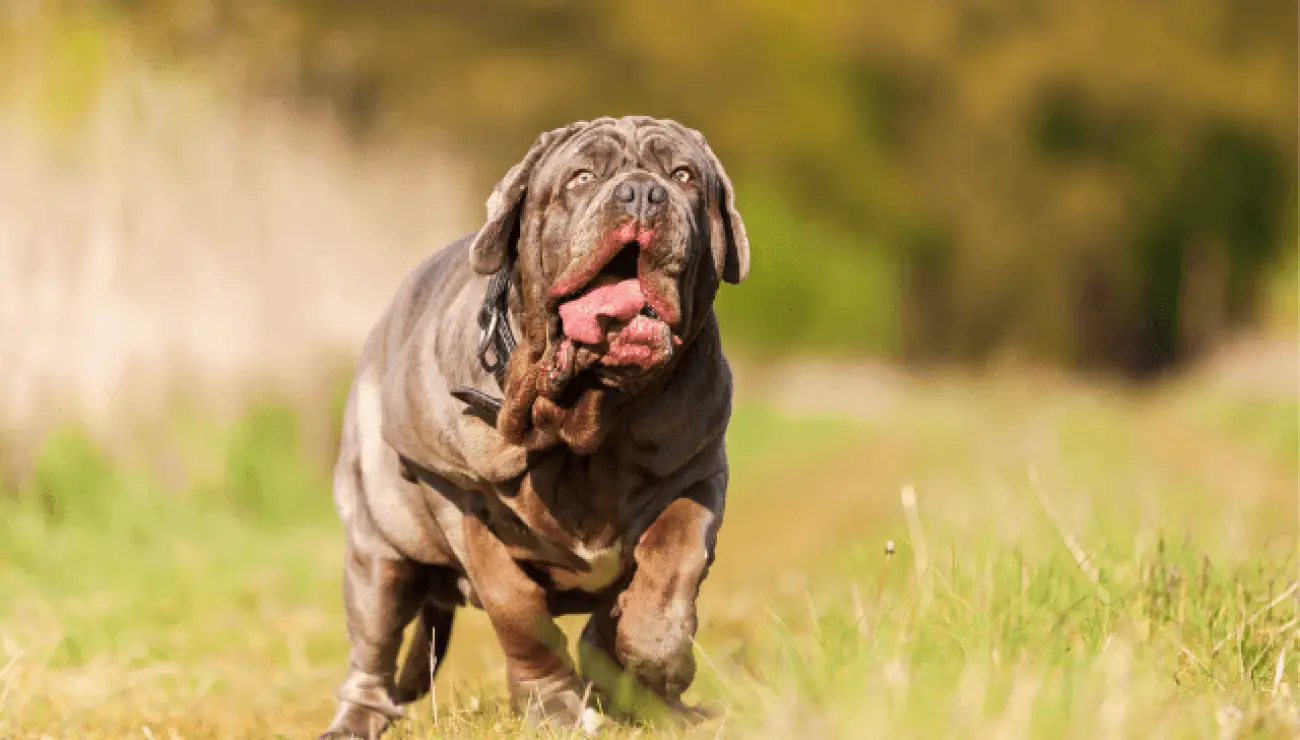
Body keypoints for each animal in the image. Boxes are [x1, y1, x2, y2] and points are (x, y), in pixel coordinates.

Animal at [318, 115, 748, 738]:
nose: (643, 194)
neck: (587, 421)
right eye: (582, 177)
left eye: (685, 175)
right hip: (378, 555)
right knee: (372, 651)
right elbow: (520, 614)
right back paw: (353, 720)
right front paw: (554, 707)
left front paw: (654, 660)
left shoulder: (695, 476)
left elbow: (671, 563)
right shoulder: (469, 512)